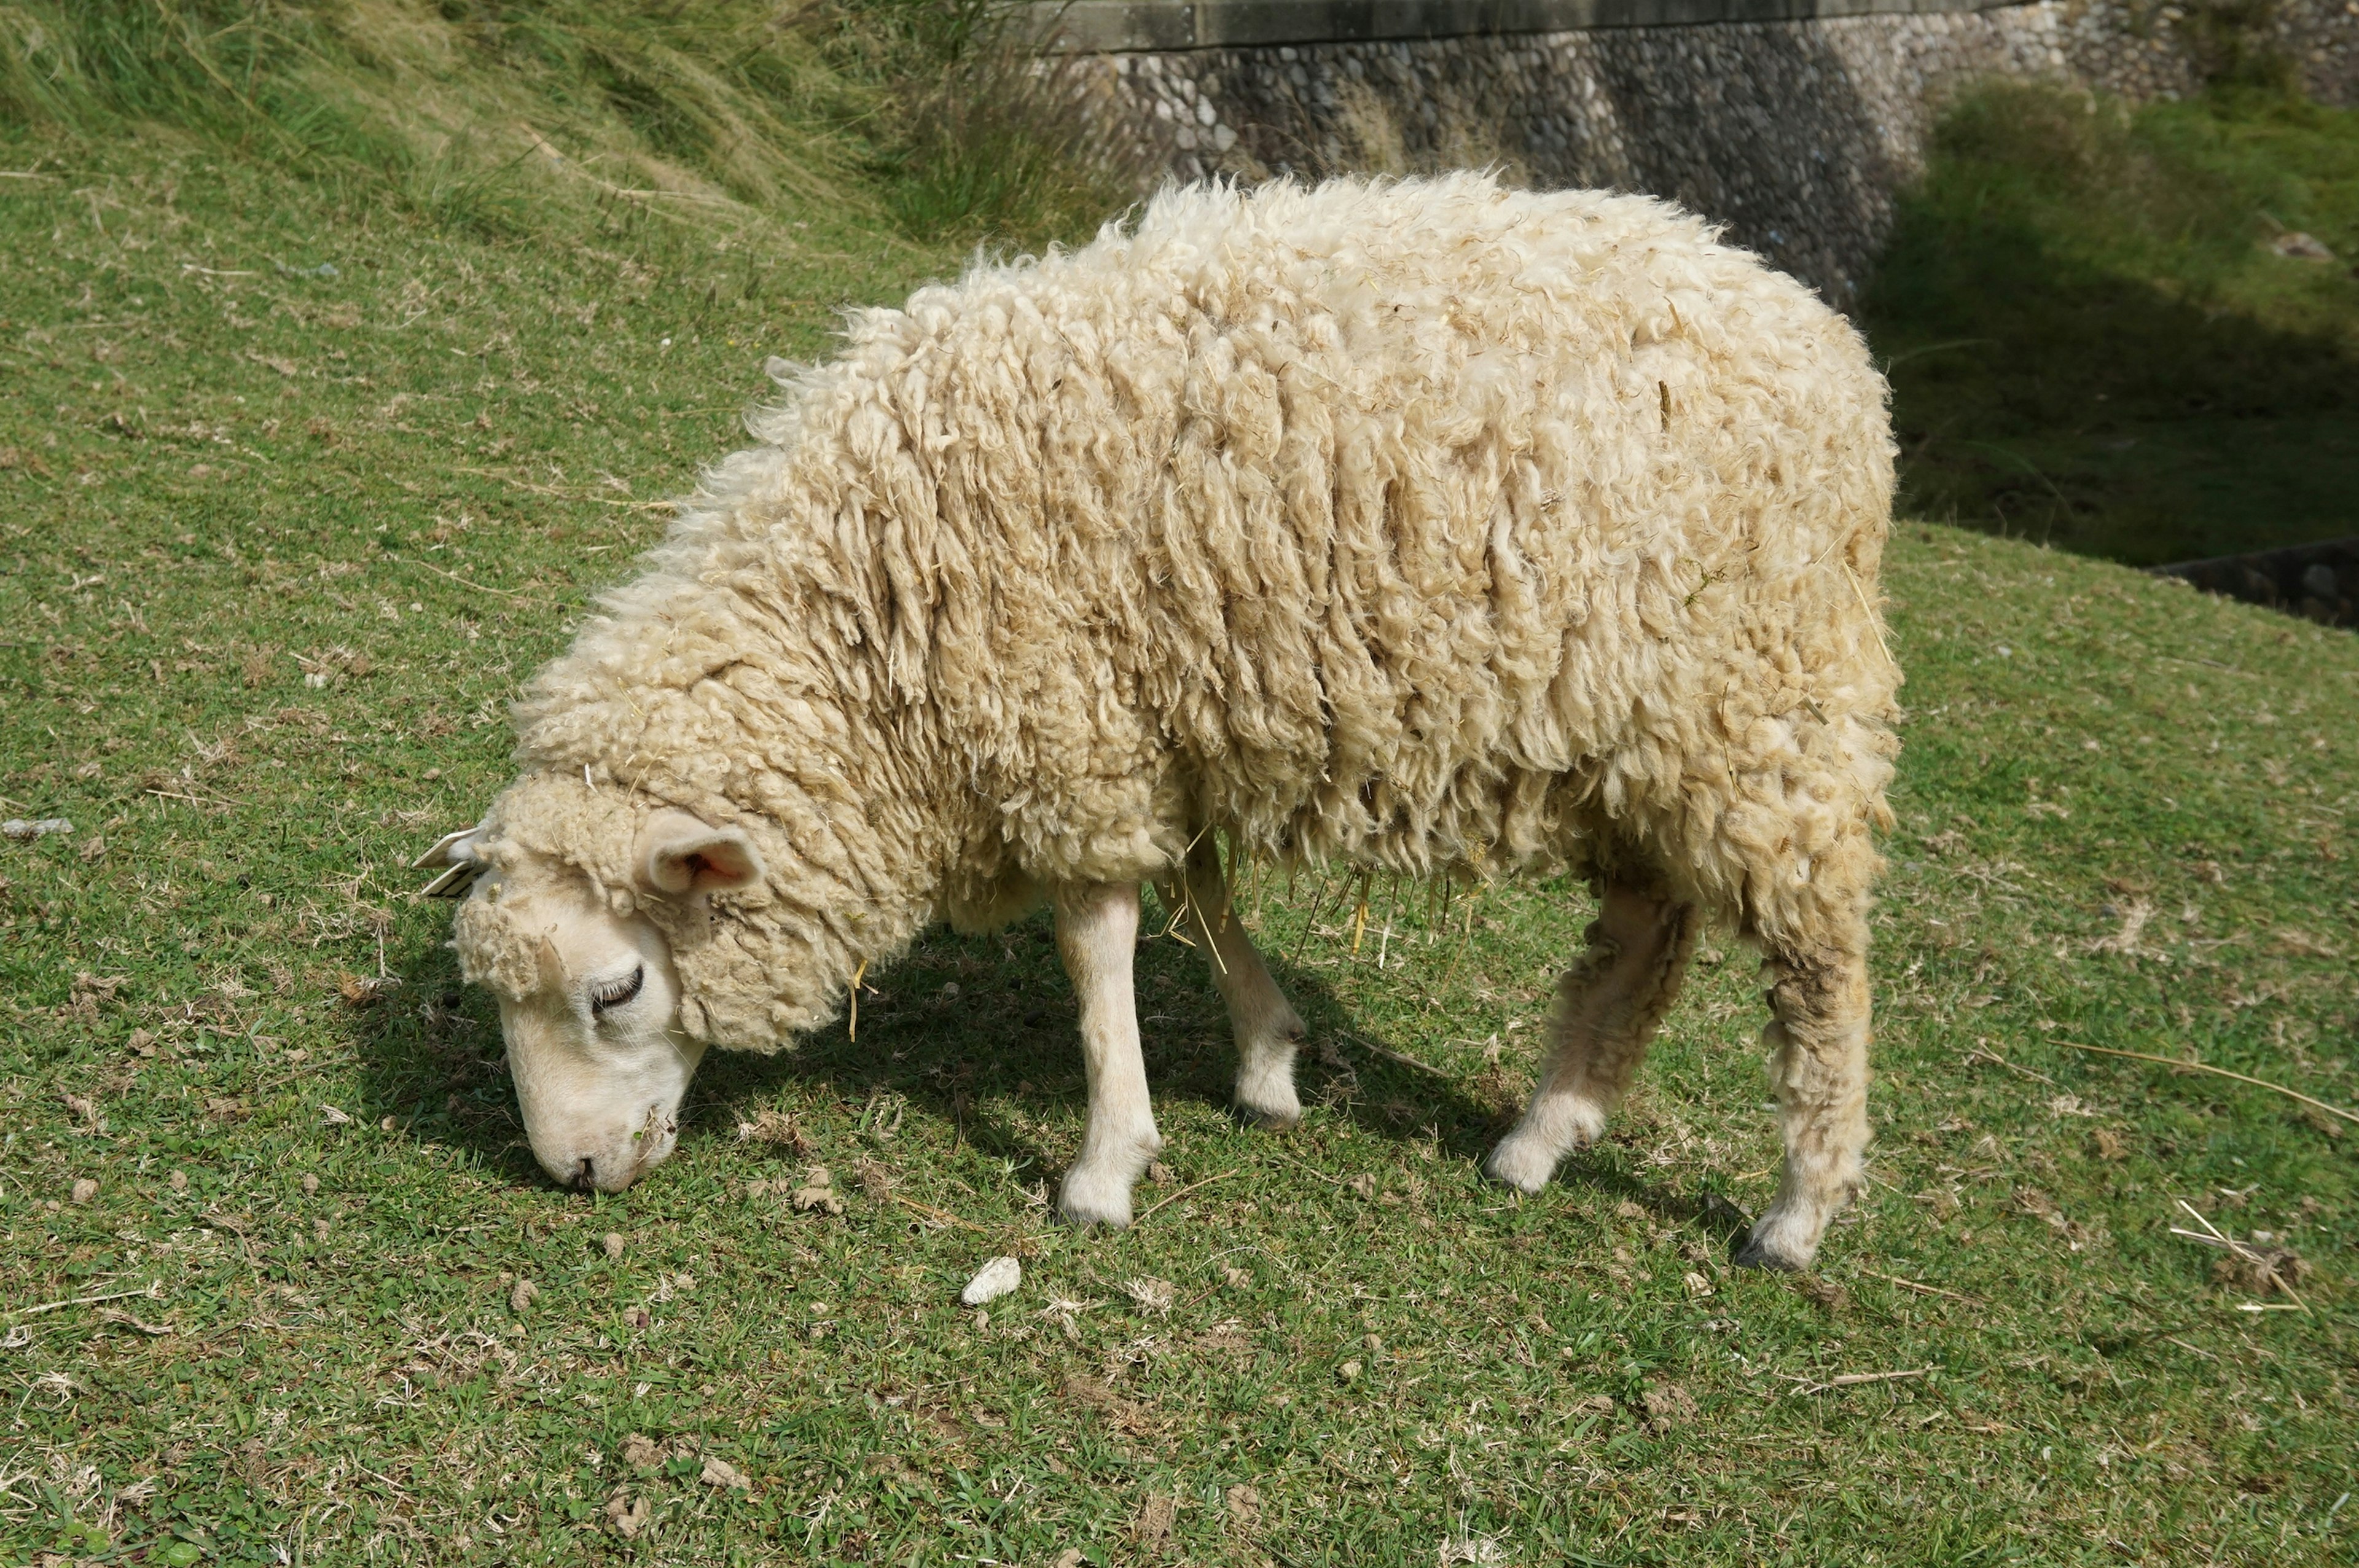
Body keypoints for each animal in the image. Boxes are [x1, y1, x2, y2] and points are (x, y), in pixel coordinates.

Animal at [420, 174, 1896, 1273]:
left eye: (616, 989)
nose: (574, 1171)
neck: (864, 607)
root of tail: (1827, 339)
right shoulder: (1143, 711)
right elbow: (1194, 890)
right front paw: (1268, 1058)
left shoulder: (1060, 713)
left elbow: (1095, 945)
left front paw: (1104, 1165)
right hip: (1648, 736)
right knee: (1645, 931)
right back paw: (1543, 1134)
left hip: (1770, 700)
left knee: (1819, 960)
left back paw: (1798, 1207)